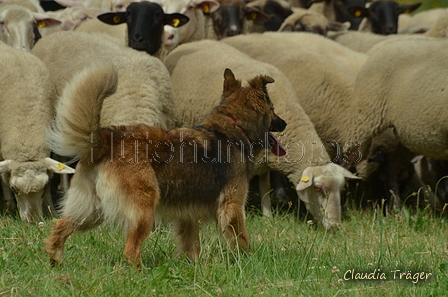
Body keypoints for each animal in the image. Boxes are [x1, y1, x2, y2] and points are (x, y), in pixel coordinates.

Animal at [43, 62, 286, 266]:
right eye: (273, 109)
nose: (284, 123)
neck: (232, 127)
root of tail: (107, 139)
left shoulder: (187, 216)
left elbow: (191, 245)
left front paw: (192, 268)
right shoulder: (232, 206)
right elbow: (241, 238)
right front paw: (249, 261)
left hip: (89, 211)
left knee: (60, 227)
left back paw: (55, 261)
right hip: (142, 209)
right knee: (131, 250)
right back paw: (140, 273)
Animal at [164, 39, 360, 229]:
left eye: (340, 190)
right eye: (319, 189)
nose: (335, 226)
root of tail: (190, 43)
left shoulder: (264, 162)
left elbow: (265, 186)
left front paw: (267, 216)